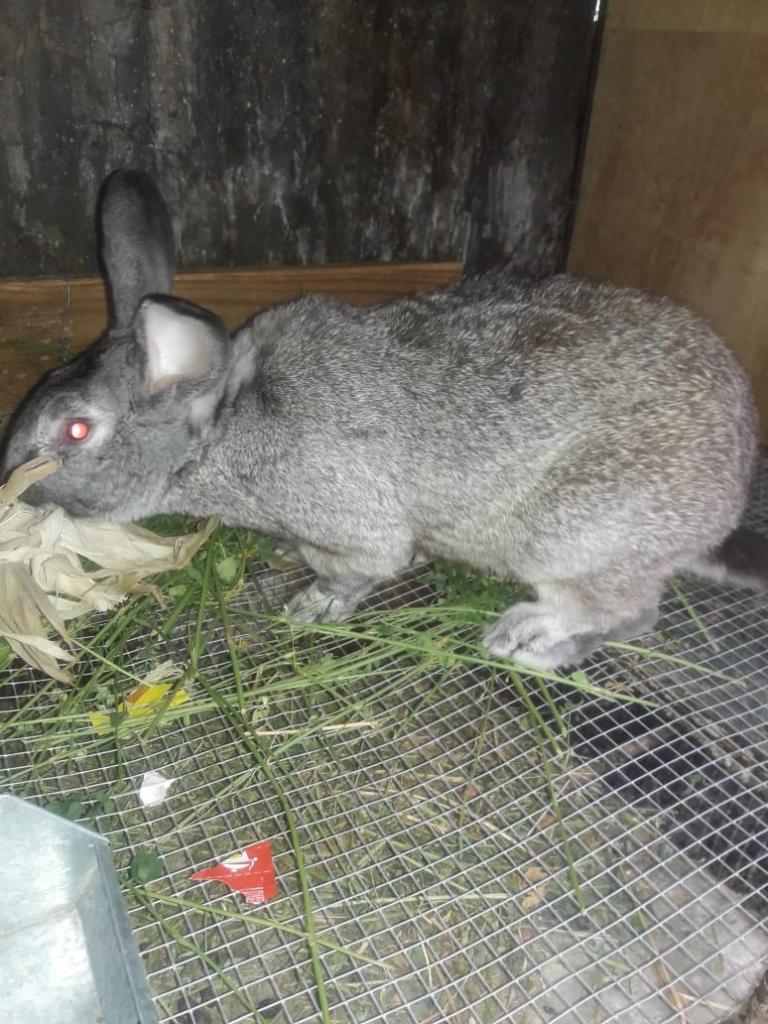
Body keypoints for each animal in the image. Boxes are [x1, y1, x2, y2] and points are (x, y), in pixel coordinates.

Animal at [1, 171, 768, 667]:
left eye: (74, 430)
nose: (10, 483)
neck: (221, 425)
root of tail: (726, 501)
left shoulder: (354, 530)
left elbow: (362, 568)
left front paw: (312, 606)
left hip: (573, 535)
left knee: (628, 612)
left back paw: (525, 641)